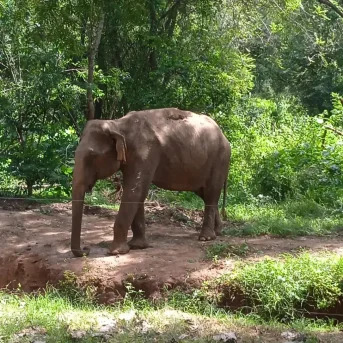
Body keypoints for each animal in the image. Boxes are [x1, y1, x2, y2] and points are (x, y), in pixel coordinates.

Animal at [70, 108, 231, 258]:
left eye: (92, 156)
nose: (86, 249)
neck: (117, 124)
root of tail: (224, 136)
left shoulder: (146, 153)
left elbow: (134, 191)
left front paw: (116, 251)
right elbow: (137, 193)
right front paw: (137, 246)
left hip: (220, 160)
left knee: (211, 193)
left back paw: (206, 238)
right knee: (206, 194)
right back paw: (218, 232)